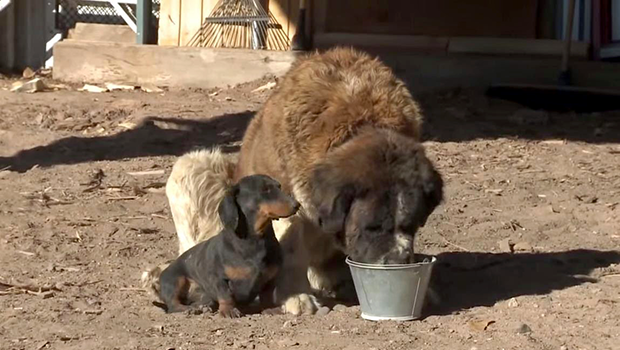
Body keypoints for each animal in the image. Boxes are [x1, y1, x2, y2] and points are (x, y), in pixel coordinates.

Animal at [143, 46, 444, 314]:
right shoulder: (284, 195)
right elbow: (290, 244)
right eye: (372, 227)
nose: (398, 261)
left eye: (413, 225)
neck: (360, 122)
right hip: (194, 166)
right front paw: (294, 296)